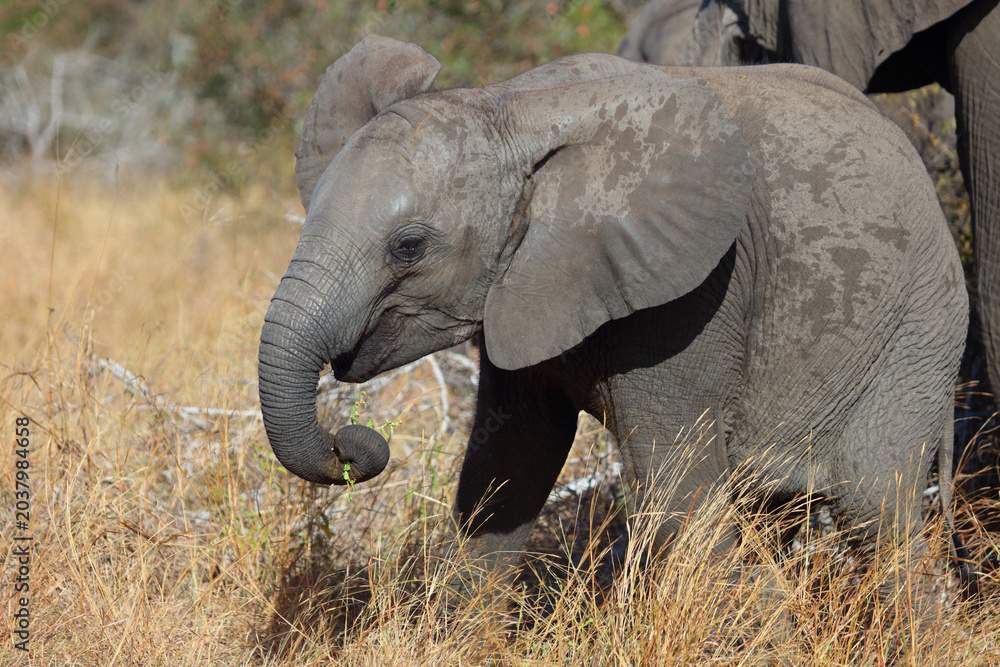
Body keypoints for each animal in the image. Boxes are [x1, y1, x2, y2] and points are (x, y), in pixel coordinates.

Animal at [258, 35, 973, 593]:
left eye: (408, 246)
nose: (354, 445)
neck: (507, 106)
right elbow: (507, 467)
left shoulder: (692, 296)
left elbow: (680, 494)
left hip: (917, 329)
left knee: (879, 512)